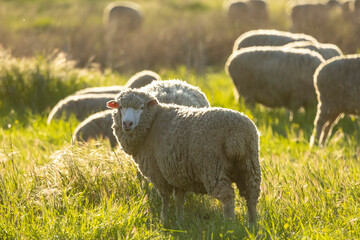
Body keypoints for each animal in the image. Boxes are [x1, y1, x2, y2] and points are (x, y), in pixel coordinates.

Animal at [107, 88, 262, 227]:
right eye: (120, 107)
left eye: (141, 107)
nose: (127, 124)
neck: (152, 123)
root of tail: (236, 136)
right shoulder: (177, 173)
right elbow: (179, 199)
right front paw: (179, 221)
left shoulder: (158, 173)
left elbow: (165, 198)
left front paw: (164, 220)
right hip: (249, 164)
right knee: (251, 195)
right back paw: (253, 225)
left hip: (213, 167)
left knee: (228, 197)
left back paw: (229, 225)